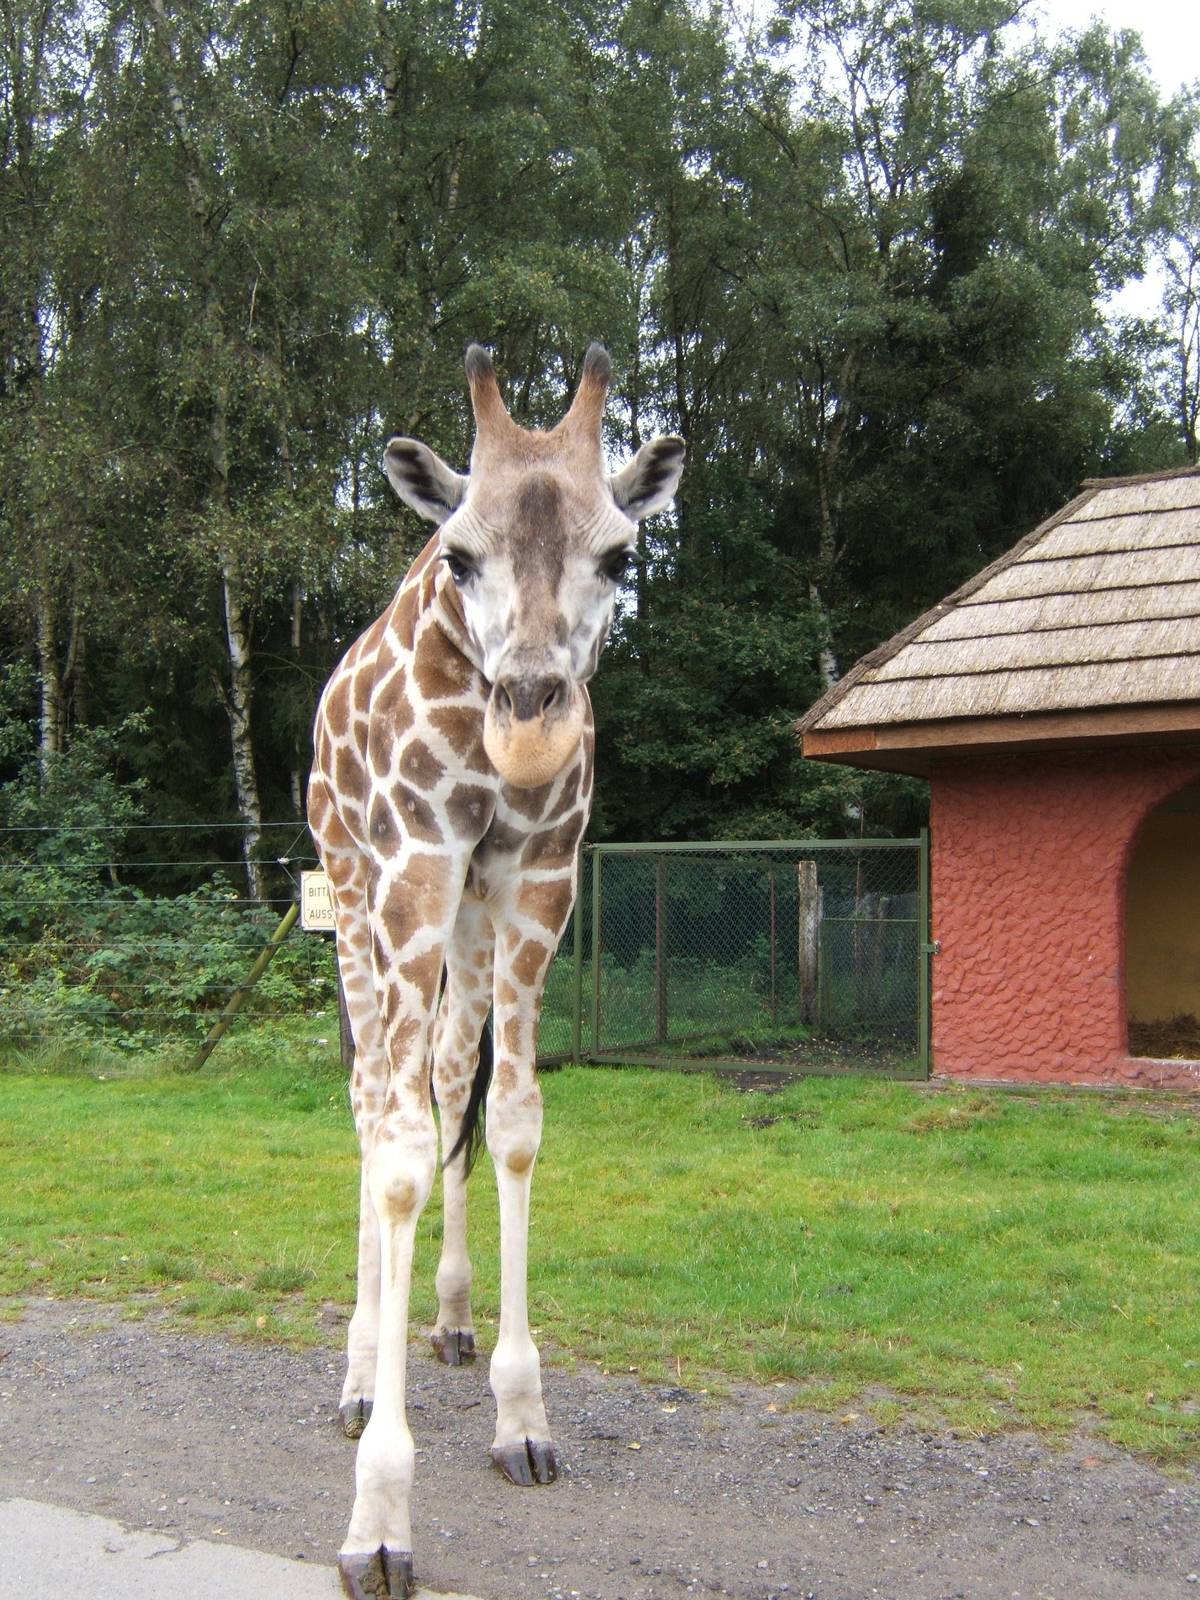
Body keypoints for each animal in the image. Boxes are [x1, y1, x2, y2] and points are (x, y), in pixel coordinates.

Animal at [307, 342, 684, 1600]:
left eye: (620, 555)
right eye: (460, 554)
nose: (532, 728)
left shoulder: (533, 875)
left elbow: (510, 1120)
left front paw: (523, 1416)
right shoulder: (416, 864)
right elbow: (398, 1158)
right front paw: (378, 1518)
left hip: (463, 924)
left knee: (441, 1074)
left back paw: (451, 1319)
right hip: (355, 898)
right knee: (373, 1101)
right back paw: (358, 1372)